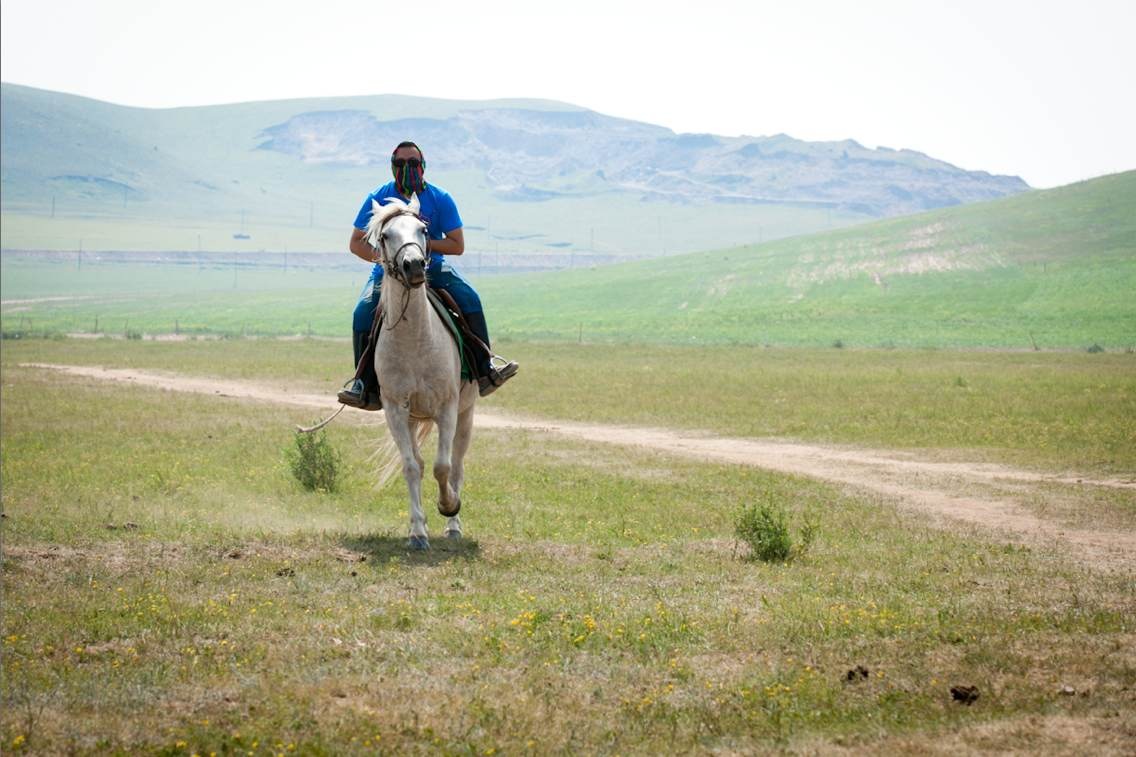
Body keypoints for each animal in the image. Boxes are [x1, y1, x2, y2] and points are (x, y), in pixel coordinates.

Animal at [365, 194, 477, 547]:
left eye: (423, 230)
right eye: (385, 236)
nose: (414, 265)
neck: (415, 339)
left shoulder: (448, 407)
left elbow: (444, 467)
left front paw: (449, 506)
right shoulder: (395, 410)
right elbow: (412, 467)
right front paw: (417, 530)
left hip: (466, 414)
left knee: (457, 465)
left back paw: (454, 525)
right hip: (414, 418)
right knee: (421, 462)